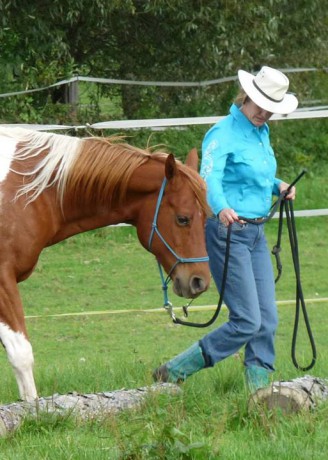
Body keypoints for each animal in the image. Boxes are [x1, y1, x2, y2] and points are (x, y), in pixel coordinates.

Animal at [0, 127, 210, 400]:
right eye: (183, 219)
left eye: (206, 217)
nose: (199, 281)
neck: (23, 190)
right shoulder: (4, 280)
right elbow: (21, 354)